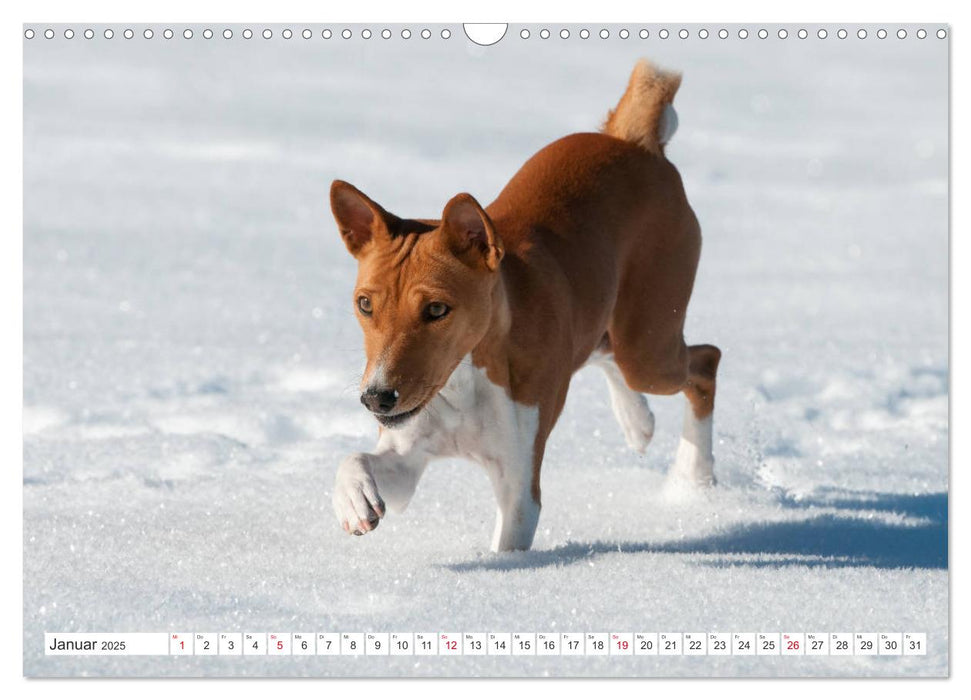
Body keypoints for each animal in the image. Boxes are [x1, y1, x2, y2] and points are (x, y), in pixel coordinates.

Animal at [330, 61, 716, 552]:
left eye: (436, 310)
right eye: (365, 304)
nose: (376, 398)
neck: (464, 381)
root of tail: (633, 141)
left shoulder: (519, 486)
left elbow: (507, 547)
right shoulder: (407, 452)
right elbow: (353, 460)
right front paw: (354, 499)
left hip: (649, 347)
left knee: (704, 363)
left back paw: (695, 479)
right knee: (602, 350)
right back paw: (638, 421)